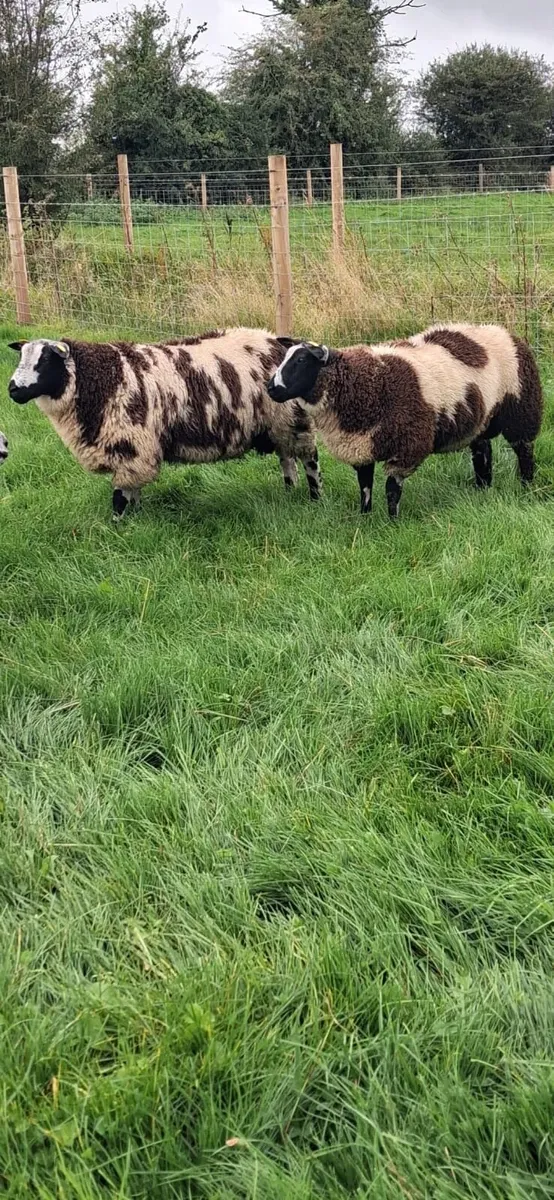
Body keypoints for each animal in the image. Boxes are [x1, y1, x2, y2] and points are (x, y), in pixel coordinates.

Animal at [7, 328, 321, 518]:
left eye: (44, 360)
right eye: (21, 358)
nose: (12, 389)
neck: (101, 378)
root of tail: (274, 340)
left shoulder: (132, 446)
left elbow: (119, 497)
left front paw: (117, 528)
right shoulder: (132, 452)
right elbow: (132, 491)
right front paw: (136, 519)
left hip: (291, 419)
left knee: (310, 459)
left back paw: (315, 497)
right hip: (278, 425)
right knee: (286, 458)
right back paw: (289, 491)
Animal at [266, 323, 543, 519]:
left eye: (301, 360)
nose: (271, 389)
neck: (367, 383)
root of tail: (503, 330)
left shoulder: (407, 446)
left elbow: (392, 489)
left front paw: (392, 522)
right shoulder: (362, 445)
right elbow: (364, 486)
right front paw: (364, 518)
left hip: (522, 409)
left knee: (524, 451)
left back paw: (527, 488)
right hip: (481, 419)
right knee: (483, 451)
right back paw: (482, 488)